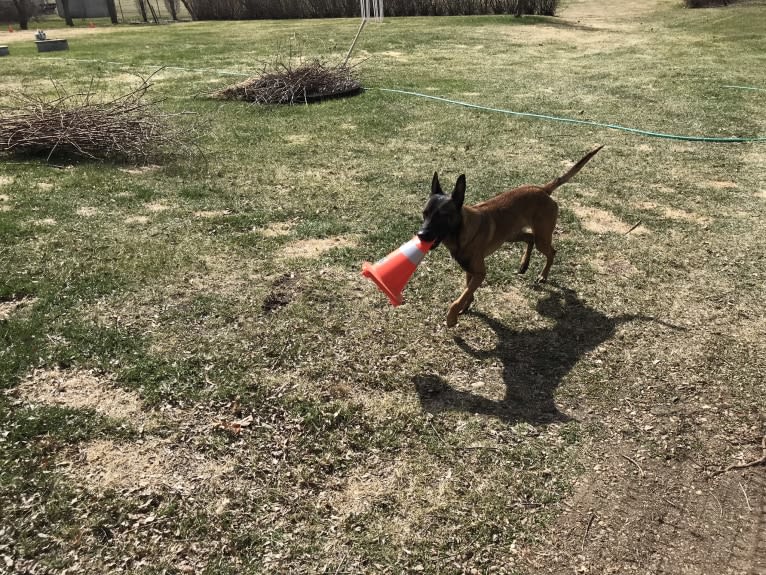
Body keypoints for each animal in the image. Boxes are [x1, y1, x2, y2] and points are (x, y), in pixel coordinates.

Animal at [420, 146, 608, 326]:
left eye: (442, 216)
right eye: (424, 213)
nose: (421, 235)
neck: (461, 231)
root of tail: (542, 189)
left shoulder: (480, 273)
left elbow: (459, 298)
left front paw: (452, 317)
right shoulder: (470, 270)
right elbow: (467, 291)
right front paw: (466, 306)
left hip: (540, 238)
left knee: (551, 251)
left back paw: (543, 275)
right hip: (511, 235)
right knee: (530, 238)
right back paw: (524, 264)